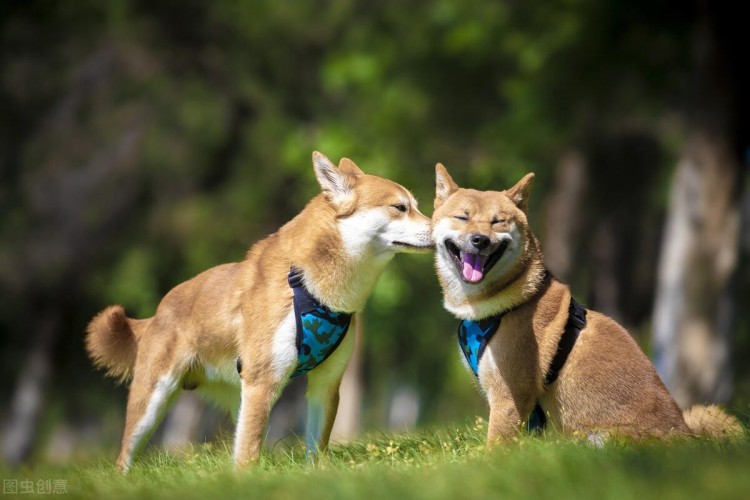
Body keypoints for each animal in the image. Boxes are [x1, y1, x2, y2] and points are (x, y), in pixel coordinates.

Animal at [86, 150, 434, 470]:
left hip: (236, 396)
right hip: (153, 401)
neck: (310, 287)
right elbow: (249, 456)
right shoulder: (263, 380)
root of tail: (156, 313)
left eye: (416, 206)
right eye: (400, 207)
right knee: (124, 459)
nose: (440, 231)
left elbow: (314, 450)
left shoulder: (326, 384)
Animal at [432, 164, 744, 446]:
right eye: (462, 217)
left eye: (498, 222)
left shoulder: (509, 394)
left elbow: (495, 447)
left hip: (600, 438)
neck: (508, 299)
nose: (480, 240)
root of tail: (687, 437)